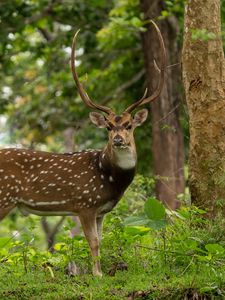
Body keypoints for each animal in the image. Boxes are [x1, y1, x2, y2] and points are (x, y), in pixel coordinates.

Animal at [0, 20, 165, 276]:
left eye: (129, 125)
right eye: (108, 126)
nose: (118, 139)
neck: (110, 178)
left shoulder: (101, 210)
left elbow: (101, 240)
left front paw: (100, 271)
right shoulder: (85, 203)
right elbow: (93, 241)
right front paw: (97, 274)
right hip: (4, 197)